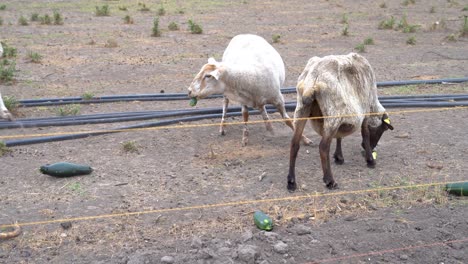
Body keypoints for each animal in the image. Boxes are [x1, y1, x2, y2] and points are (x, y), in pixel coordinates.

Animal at [288, 52, 394, 191]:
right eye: (384, 128)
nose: (369, 147)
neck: (373, 105)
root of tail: (313, 78)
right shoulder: (365, 111)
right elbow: (365, 133)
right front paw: (370, 160)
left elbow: (339, 136)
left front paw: (339, 157)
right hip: (333, 114)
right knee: (323, 147)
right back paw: (330, 181)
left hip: (301, 109)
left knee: (294, 143)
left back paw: (291, 182)